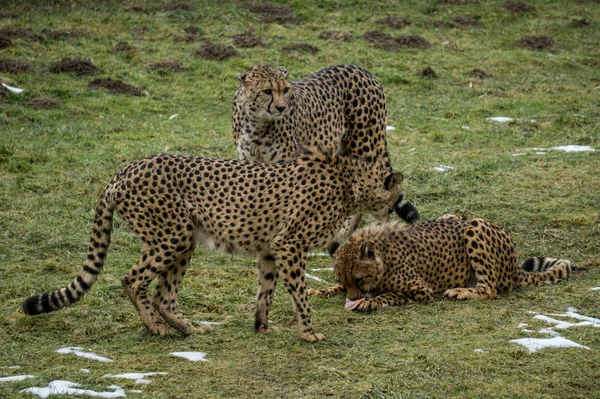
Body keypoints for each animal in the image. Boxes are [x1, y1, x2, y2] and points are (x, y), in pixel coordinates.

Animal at [23, 148, 408, 342]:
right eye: (395, 195)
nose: (398, 208)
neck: (349, 183)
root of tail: (125, 170)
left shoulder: (271, 248)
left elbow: (265, 291)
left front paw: (262, 326)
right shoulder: (289, 244)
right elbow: (299, 294)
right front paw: (308, 332)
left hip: (185, 240)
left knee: (164, 293)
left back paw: (187, 328)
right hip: (173, 234)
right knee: (132, 280)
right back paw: (156, 326)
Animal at [232, 64, 420, 238]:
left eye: (285, 89)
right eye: (267, 91)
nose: (281, 108)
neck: (257, 122)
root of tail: (360, 69)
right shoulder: (249, 159)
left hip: (366, 146)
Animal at [310, 214, 572, 310]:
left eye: (359, 278)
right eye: (342, 279)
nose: (352, 299)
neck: (383, 257)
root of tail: (513, 263)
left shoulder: (421, 290)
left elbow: (391, 294)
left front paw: (370, 301)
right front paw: (319, 291)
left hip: (476, 225)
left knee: (489, 289)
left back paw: (460, 292)